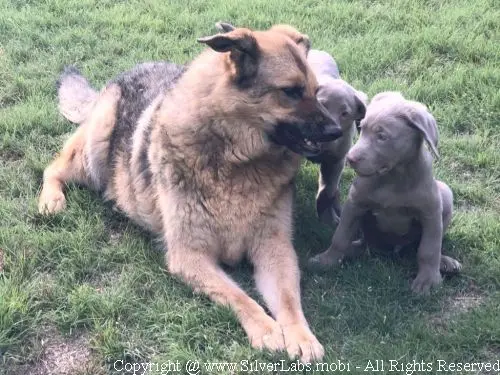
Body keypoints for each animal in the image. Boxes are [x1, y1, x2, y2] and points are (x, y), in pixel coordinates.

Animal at [39, 24, 346, 364]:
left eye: (316, 91)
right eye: (291, 91)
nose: (337, 132)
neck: (236, 161)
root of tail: (129, 70)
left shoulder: (275, 249)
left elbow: (289, 300)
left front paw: (301, 336)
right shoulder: (189, 255)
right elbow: (239, 296)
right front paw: (265, 327)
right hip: (94, 151)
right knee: (52, 167)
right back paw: (51, 199)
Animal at [304, 50, 368, 226]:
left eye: (345, 113)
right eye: (322, 104)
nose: (330, 132)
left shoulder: (335, 161)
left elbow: (327, 191)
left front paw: (327, 218)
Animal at [308, 92, 460, 296]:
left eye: (382, 136)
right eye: (362, 129)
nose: (350, 159)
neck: (392, 178)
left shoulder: (431, 212)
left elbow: (429, 250)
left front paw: (427, 280)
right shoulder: (354, 204)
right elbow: (340, 237)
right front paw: (327, 260)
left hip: (445, 194)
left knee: (421, 247)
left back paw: (445, 262)